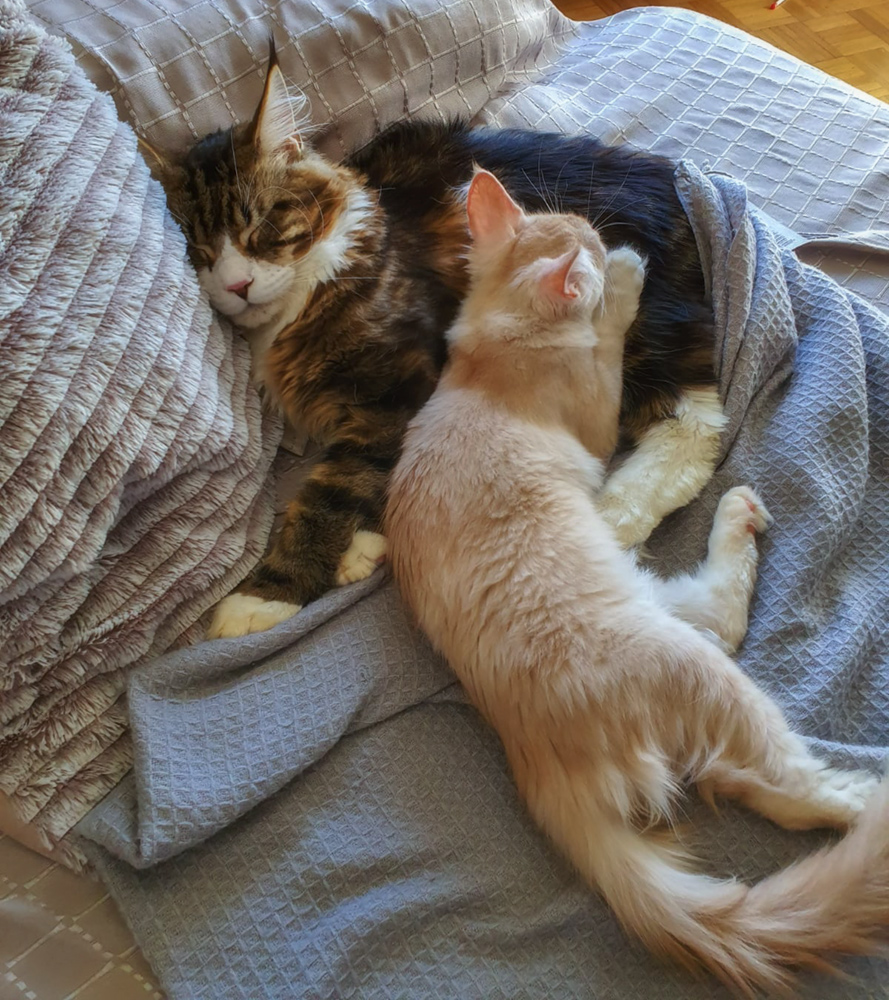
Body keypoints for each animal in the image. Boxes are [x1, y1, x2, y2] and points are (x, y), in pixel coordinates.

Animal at [141, 42, 723, 638]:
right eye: (198, 252)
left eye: (259, 228)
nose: (236, 285)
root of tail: (674, 182)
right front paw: (363, 548)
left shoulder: (400, 384)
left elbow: (335, 489)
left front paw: (267, 595)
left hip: (624, 333)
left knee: (697, 427)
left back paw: (611, 517)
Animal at [385, 168, 889, 995]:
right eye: (585, 244)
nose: (600, 234)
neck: (491, 353)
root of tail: (538, 768)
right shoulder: (595, 415)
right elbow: (612, 331)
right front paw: (624, 275)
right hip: (697, 669)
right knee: (783, 785)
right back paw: (864, 798)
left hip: (671, 615)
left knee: (730, 666)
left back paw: (739, 514)